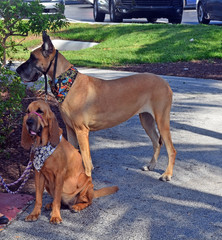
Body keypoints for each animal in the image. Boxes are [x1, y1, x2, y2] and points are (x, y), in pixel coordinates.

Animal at [16, 32, 177, 182]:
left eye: (33, 58)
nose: (17, 70)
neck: (68, 84)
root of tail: (165, 82)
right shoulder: (71, 130)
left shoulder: (81, 131)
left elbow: (86, 160)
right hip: (146, 120)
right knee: (156, 142)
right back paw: (151, 165)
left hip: (162, 120)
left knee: (171, 149)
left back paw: (167, 174)